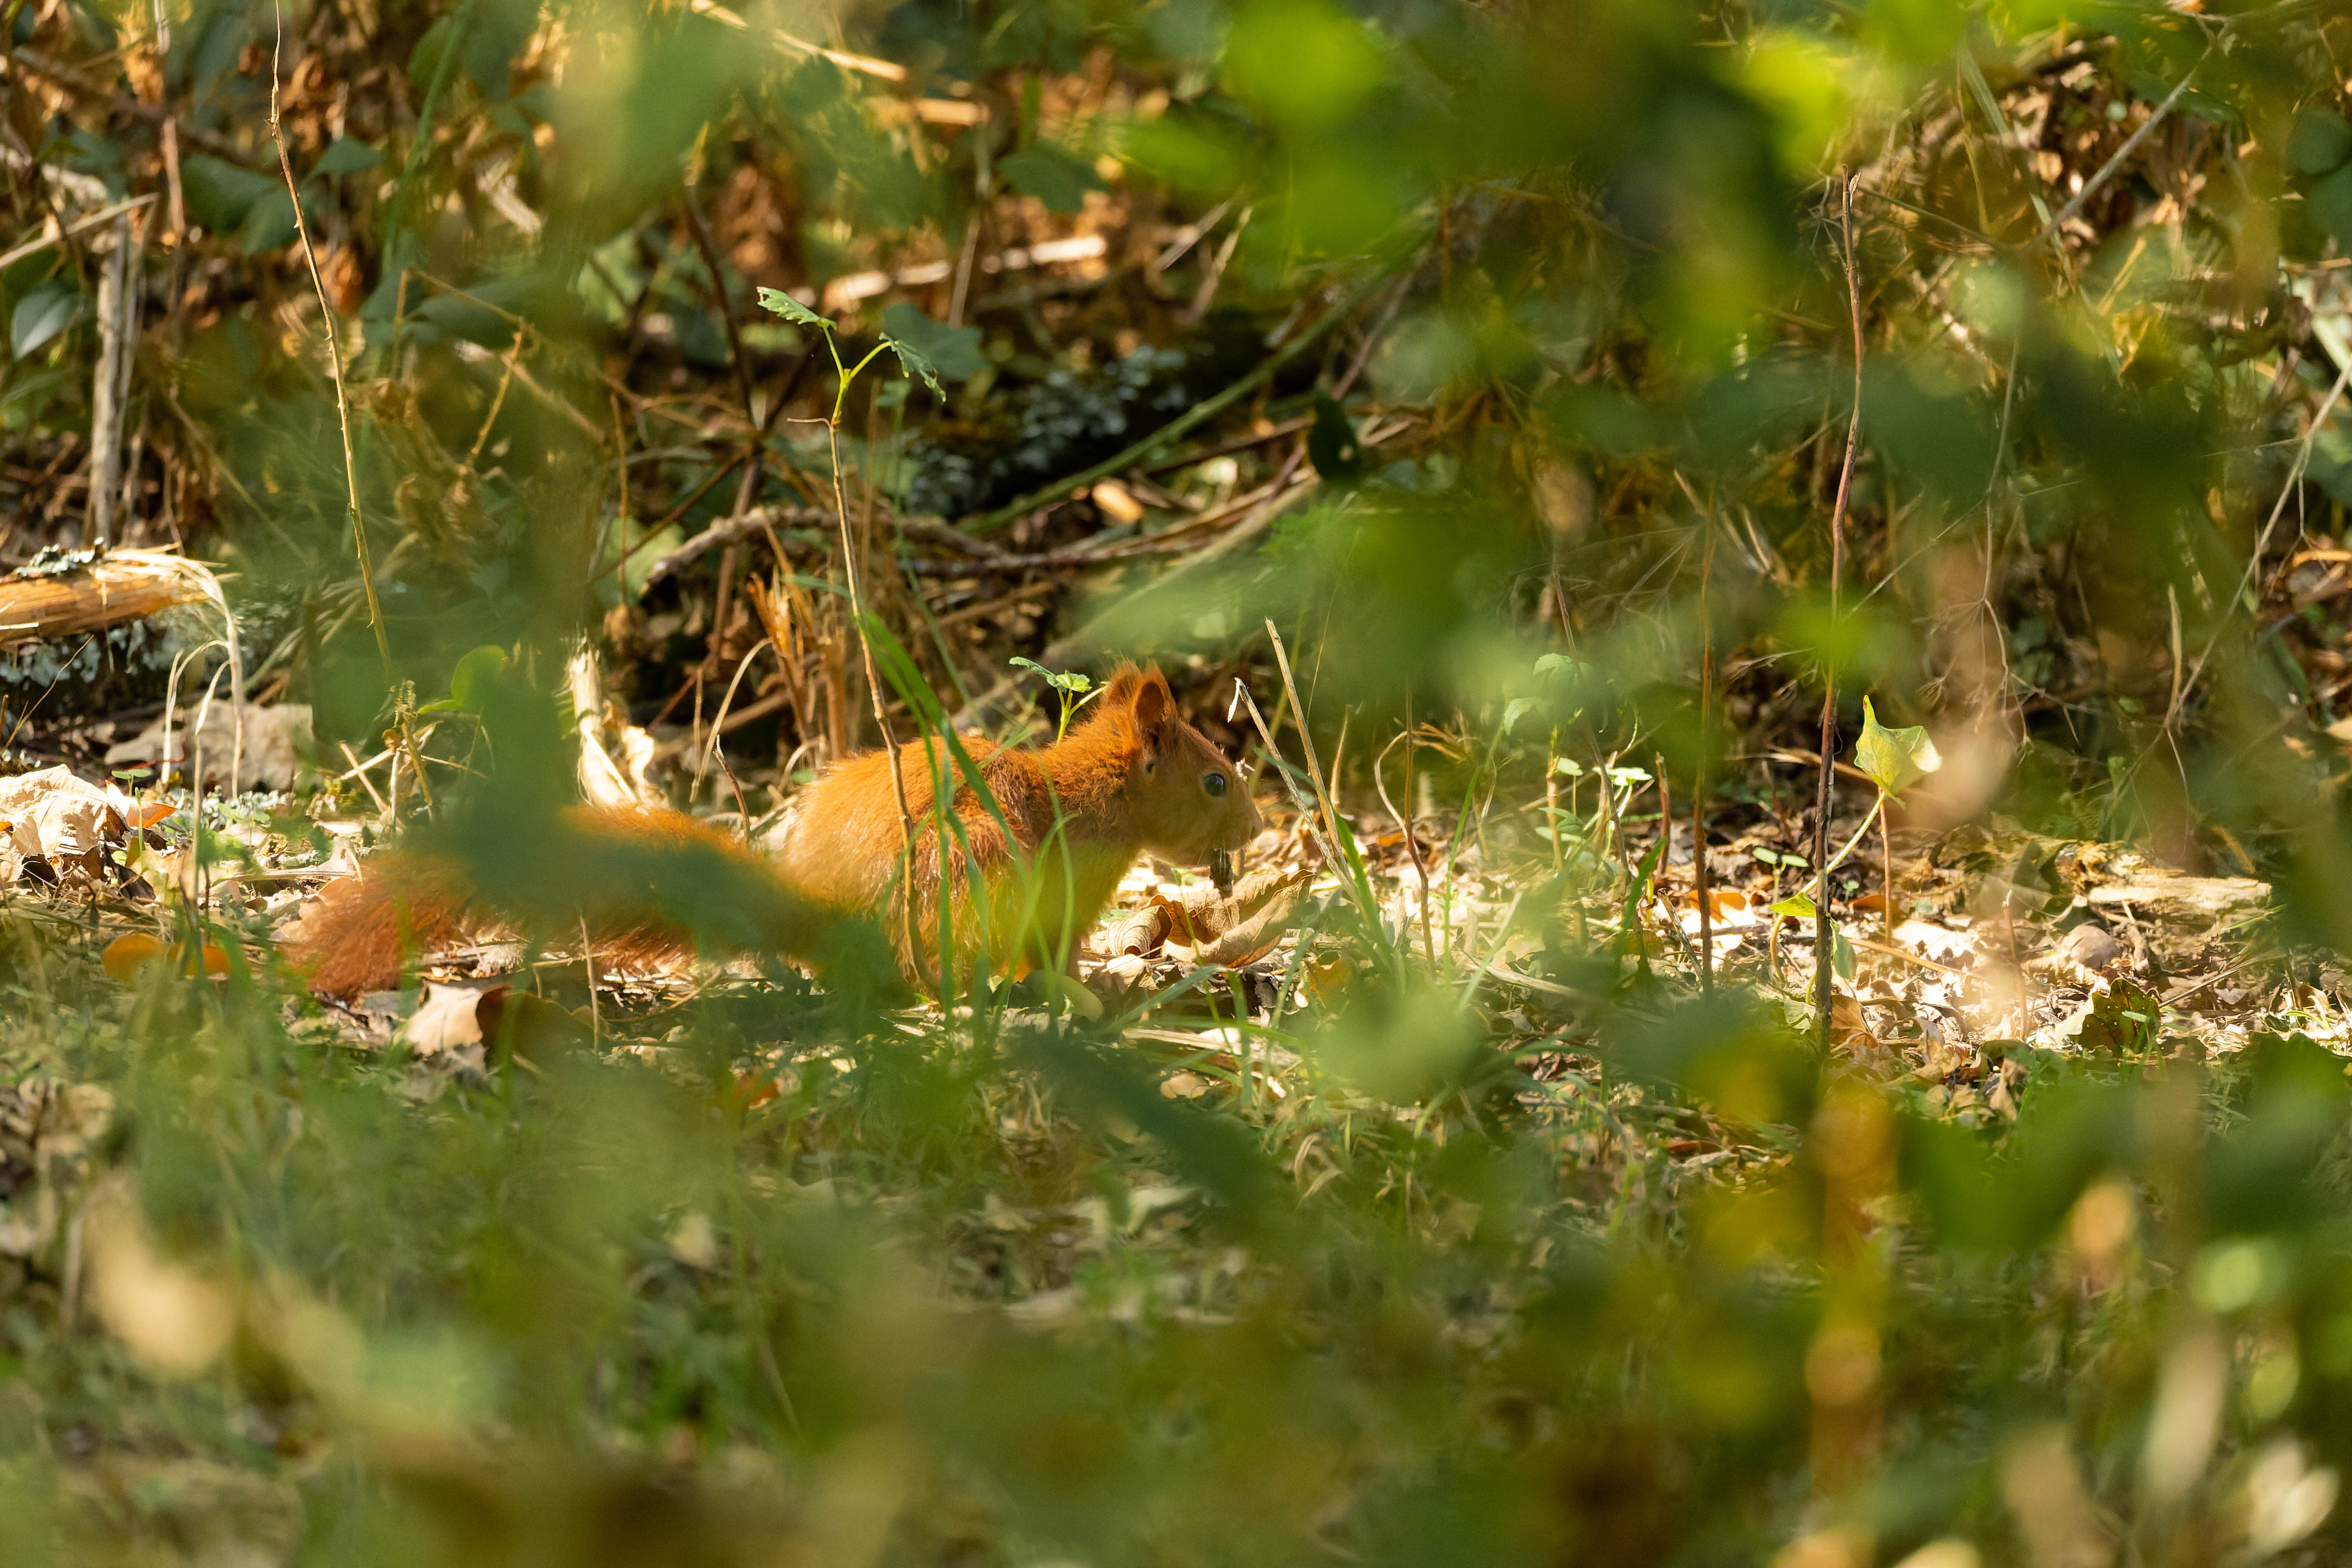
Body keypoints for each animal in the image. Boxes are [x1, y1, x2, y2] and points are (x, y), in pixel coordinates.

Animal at [286, 663, 1263, 998]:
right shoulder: (1067, 888)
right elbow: (1054, 958)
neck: (1096, 795)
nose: (1258, 824)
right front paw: (1088, 997)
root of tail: (844, 925)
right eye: (1216, 778)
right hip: (969, 873)